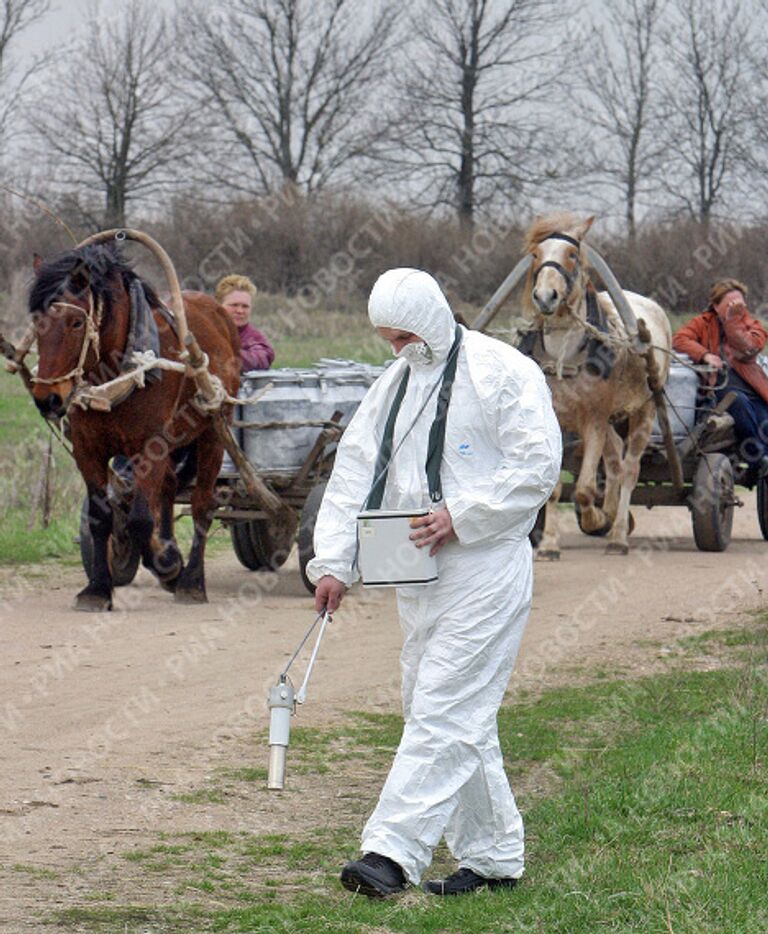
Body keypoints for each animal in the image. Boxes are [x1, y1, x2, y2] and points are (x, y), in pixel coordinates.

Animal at [29, 245, 240, 612]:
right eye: (36, 323)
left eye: (76, 322)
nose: (48, 399)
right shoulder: (88, 449)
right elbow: (101, 518)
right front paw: (98, 589)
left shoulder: (149, 447)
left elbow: (140, 519)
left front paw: (167, 565)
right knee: (169, 486)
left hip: (213, 432)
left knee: (202, 505)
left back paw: (191, 581)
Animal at [520, 216, 672, 560]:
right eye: (536, 254)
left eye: (572, 255)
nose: (545, 296)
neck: (565, 356)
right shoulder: (561, 420)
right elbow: (556, 489)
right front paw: (549, 544)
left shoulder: (593, 421)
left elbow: (585, 489)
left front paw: (594, 518)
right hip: (611, 421)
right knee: (614, 463)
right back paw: (613, 512)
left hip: (643, 410)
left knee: (629, 470)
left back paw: (617, 535)